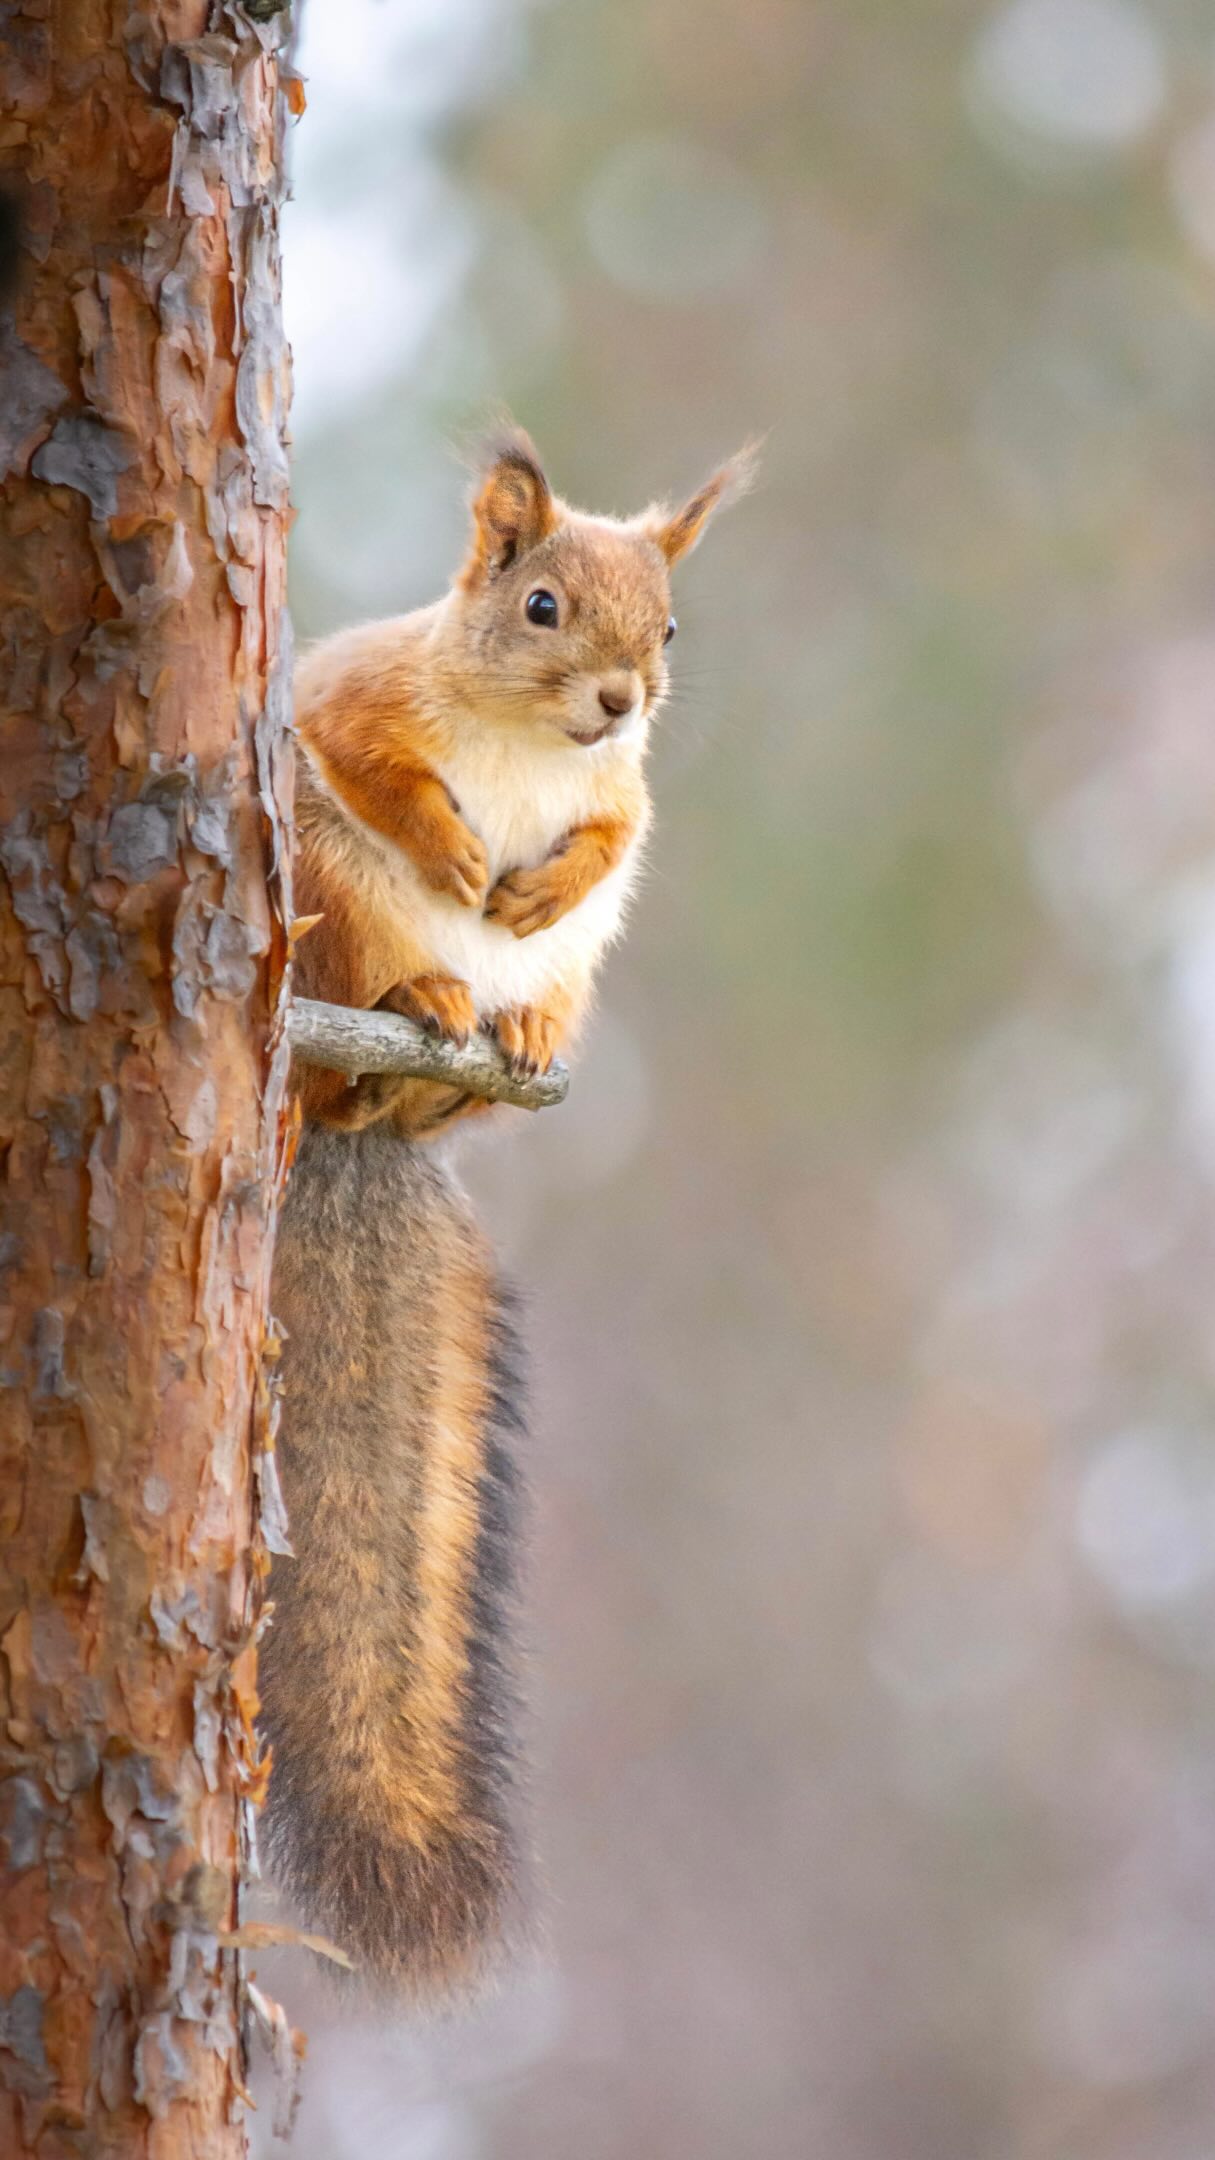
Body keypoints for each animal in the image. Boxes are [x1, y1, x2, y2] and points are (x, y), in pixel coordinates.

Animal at [258, 429, 754, 1993]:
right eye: (539, 605)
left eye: (669, 630)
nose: (620, 703)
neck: (540, 749)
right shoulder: (355, 701)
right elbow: (378, 764)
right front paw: (464, 858)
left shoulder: (625, 799)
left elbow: (613, 827)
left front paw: (537, 878)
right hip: (323, 895)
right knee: (363, 1006)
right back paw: (417, 1003)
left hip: (570, 977)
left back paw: (505, 1035)